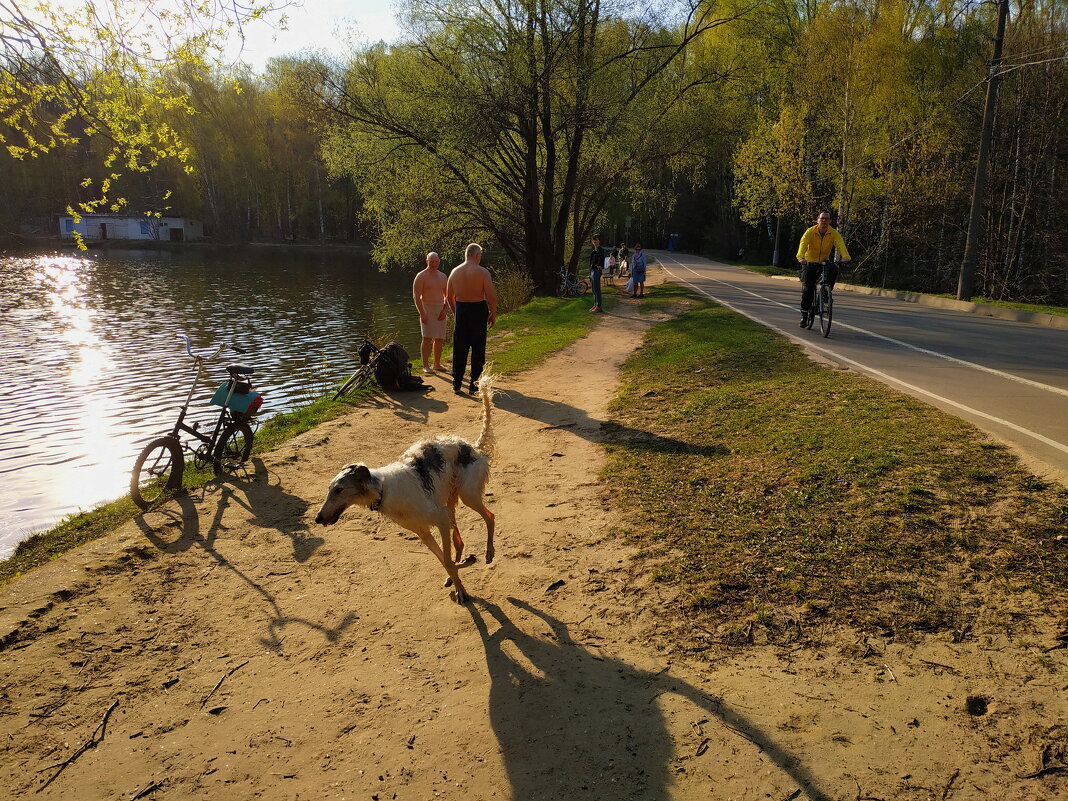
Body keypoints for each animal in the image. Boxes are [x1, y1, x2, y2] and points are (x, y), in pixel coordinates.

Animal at [311, 373, 495, 606]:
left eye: (338, 490)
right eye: (330, 489)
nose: (317, 518)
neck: (384, 489)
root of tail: (474, 447)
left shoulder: (439, 519)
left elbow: (446, 561)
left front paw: (462, 588)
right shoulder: (423, 532)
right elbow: (444, 561)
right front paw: (458, 580)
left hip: (466, 495)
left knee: (490, 517)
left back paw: (489, 553)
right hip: (450, 501)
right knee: (459, 542)